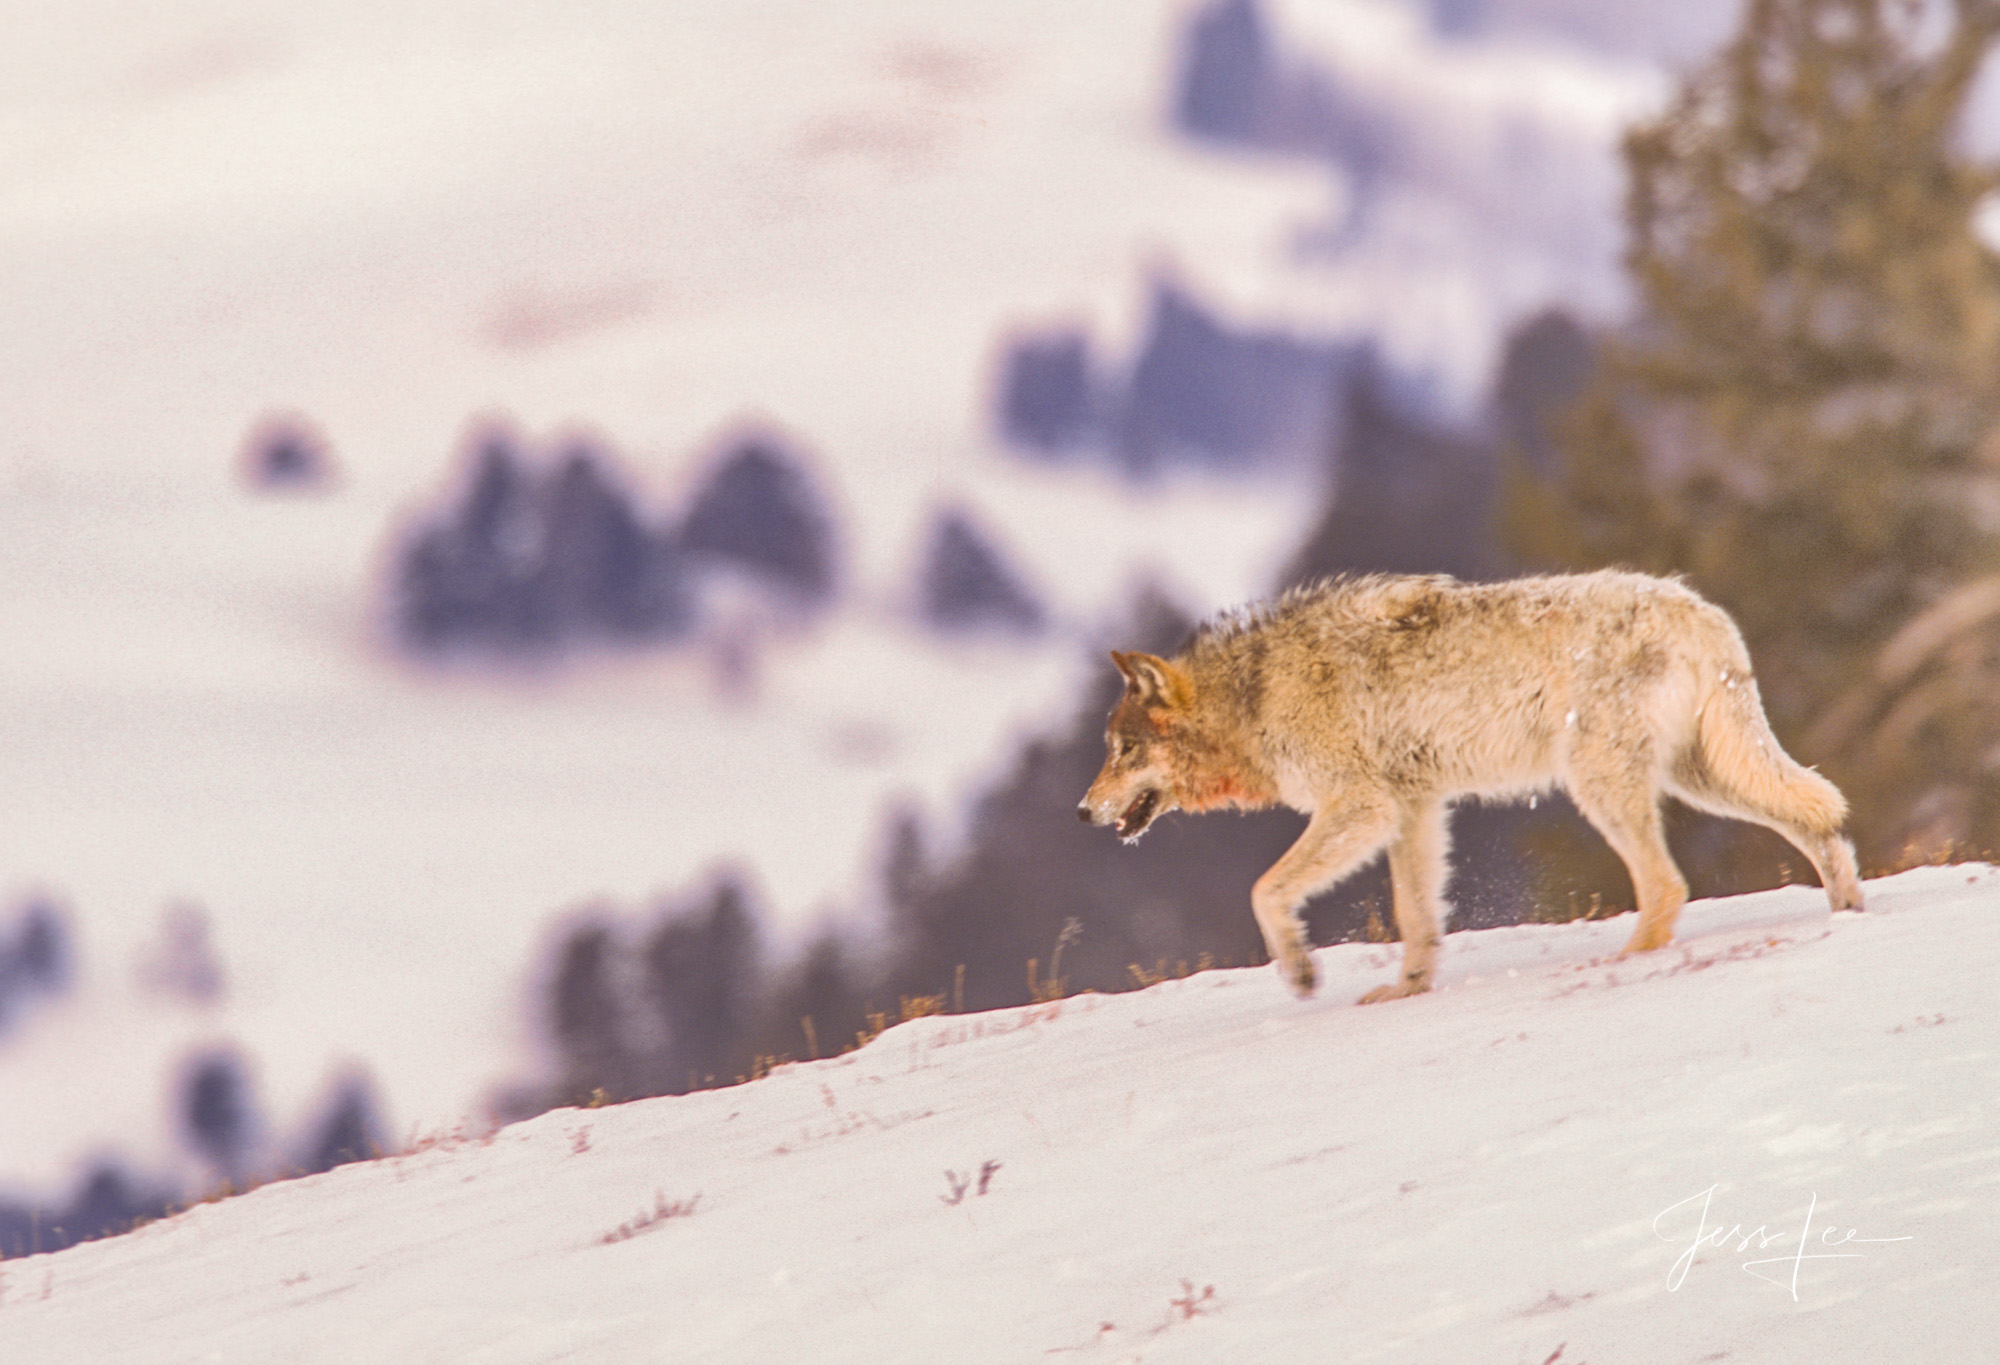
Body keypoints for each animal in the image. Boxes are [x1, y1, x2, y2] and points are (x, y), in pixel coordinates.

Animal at [1072, 564, 1864, 1000]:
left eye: (1122, 749)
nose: (1080, 812)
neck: (1256, 695)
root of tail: (1703, 613)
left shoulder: (1363, 807)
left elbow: (1264, 890)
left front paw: (1300, 973)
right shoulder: (1414, 810)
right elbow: (1417, 916)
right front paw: (1406, 990)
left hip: (1601, 785)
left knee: (1668, 883)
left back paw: (1628, 958)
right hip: (1702, 777)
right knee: (1817, 816)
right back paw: (1847, 909)